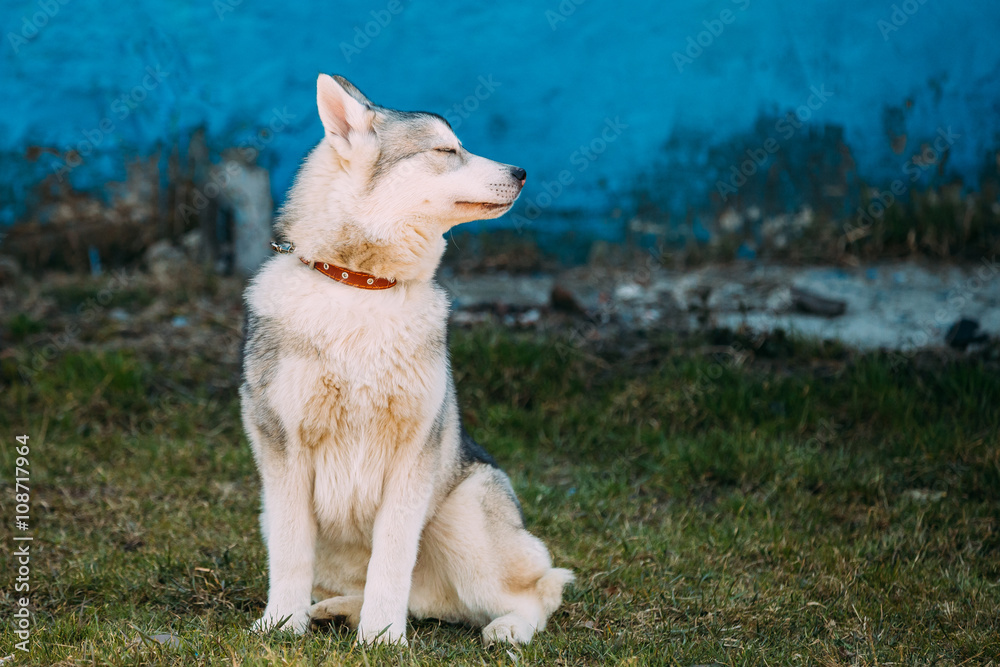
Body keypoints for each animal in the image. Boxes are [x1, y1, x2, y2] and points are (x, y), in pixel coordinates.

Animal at [238, 74, 576, 648]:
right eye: (445, 150)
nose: (522, 172)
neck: (362, 286)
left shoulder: (412, 455)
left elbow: (392, 562)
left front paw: (381, 639)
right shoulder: (283, 454)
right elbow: (290, 556)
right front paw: (281, 624)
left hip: (462, 520)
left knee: (541, 587)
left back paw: (507, 628)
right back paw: (333, 609)